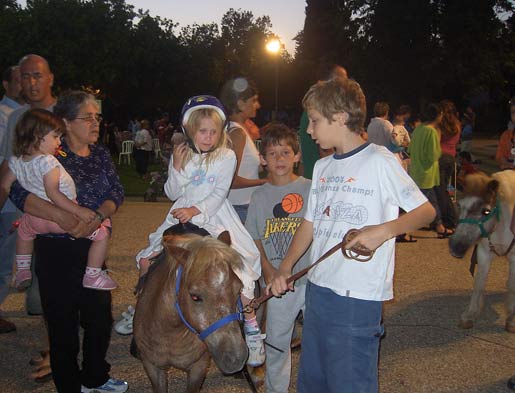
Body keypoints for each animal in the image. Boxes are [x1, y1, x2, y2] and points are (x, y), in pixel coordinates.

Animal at [132, 231, 247, 390]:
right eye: (195, 296)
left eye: (239, 289)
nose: (235, 358)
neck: (170, 333)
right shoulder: (153, 367)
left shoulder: (198, 367)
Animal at [450, 171, 512, 330]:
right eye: (459, 206)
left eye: (486, 211)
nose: (455, 247)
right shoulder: (484, 253)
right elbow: (479, 283)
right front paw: (469, 315)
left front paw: (511, 320)